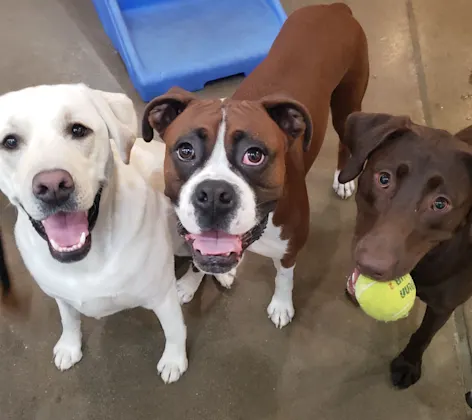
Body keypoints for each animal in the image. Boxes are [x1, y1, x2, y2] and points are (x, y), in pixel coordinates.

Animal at [0, 83, 197, 384]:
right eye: (9, 142)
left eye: (78, 130)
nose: (53, 186)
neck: (87, 261)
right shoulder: (61, 297)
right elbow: (69, 320)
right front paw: (69, 346)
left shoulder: (162, 297)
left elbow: (175, 330)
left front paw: (174, 360)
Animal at [140, 4, 368, 330]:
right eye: (185, 151)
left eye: (254, 155)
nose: (213, 194)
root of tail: (334, 8)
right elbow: (199, 260)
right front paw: (189, 283)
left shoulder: (290, 248)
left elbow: (285, 276)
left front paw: (282, 305)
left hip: (347, 102)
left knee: (346, 139)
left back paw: (343, 179)